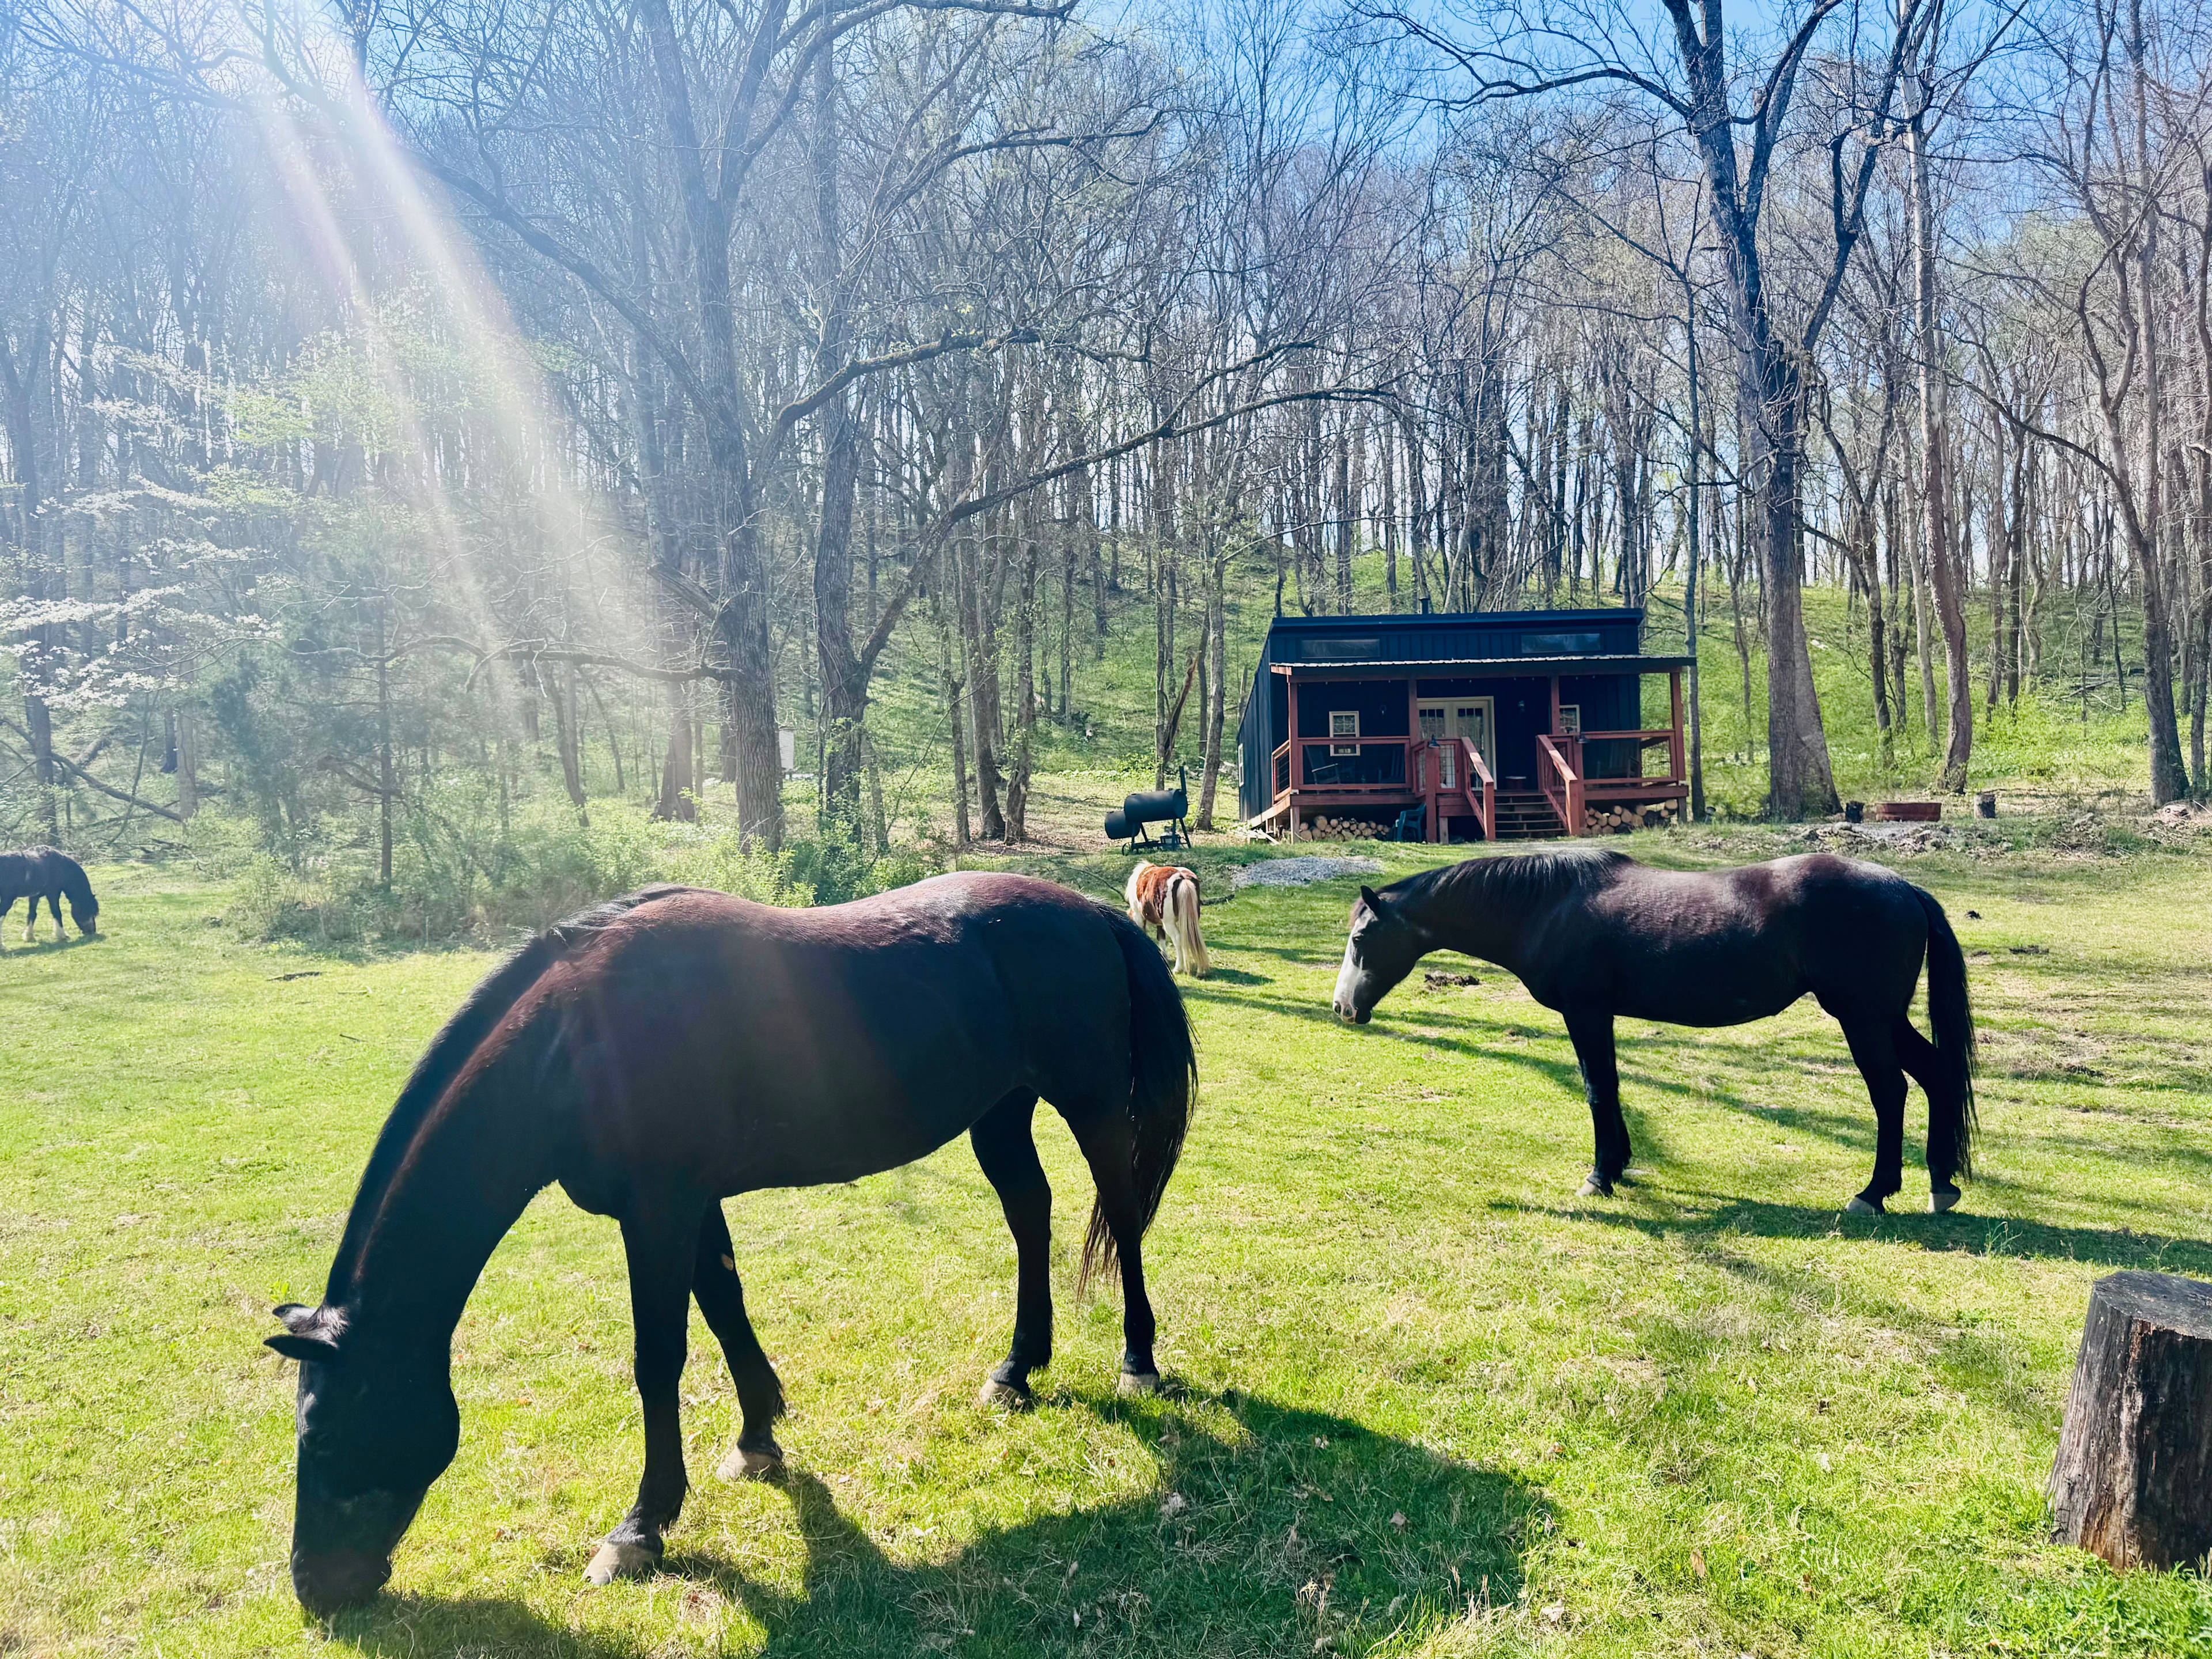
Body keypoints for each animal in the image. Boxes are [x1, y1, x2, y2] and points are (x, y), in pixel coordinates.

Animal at [0, 846, 99, 942]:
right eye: (89, 911)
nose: (92, 931)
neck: (61, 866)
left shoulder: (34, 897)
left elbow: (32, 914)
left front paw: (29, 937)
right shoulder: (53, 894)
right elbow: (57, 912)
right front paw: (62, 936)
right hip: (7, 900)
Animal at [262, 874, 1196, 1616]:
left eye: (329, 1435)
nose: (316, 1588)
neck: (574, 1043)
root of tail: (1091, 914)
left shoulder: (659, 1210)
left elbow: (659, 1359)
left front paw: (640, 1528)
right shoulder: (690, 1205)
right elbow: (725, 1310)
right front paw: (757, 1440)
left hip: (1093, 1103)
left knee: (1122, 1217)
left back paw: (1138, 1360)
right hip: (1000, 1110)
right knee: (1029, 1214)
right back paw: (1016, 1369)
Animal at [1124, 860, 1210, 978]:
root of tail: (1182, 877)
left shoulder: (1139, 917)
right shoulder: (1159, 922)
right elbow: (1161, 937)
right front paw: (1164, 956)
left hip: (1169, 923)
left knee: (1178, 939)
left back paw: (1179, 968)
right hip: (1191, 920)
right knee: (1194, 938)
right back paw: (1200, 970)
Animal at [1330, 849, 1976, 1216]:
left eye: (1361, 939)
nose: (1342, 1008)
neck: (1548, 905)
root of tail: (1904, 888)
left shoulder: (1586, 1012)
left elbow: (1598, 1089)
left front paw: (1599, 1177)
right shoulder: (1602, 1016)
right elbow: (1611, 1088)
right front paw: (1618, 1166)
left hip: (1862, 1019)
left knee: (1890, 1092)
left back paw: (1874, 1194)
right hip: (1885, 1018)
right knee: (1935, 1075)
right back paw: (1941, 1185)